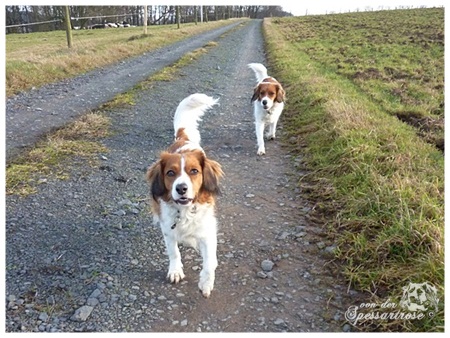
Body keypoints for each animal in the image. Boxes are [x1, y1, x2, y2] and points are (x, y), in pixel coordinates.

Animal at [148, 93, 223, 298]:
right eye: (170, 173)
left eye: (194, 171)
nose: (181, 188)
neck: (185, 211)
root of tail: (183, 139)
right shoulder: (168, 229)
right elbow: (173, 251)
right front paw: (175, 270)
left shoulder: (207, 231)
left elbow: (209, 263)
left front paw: (206, 283)